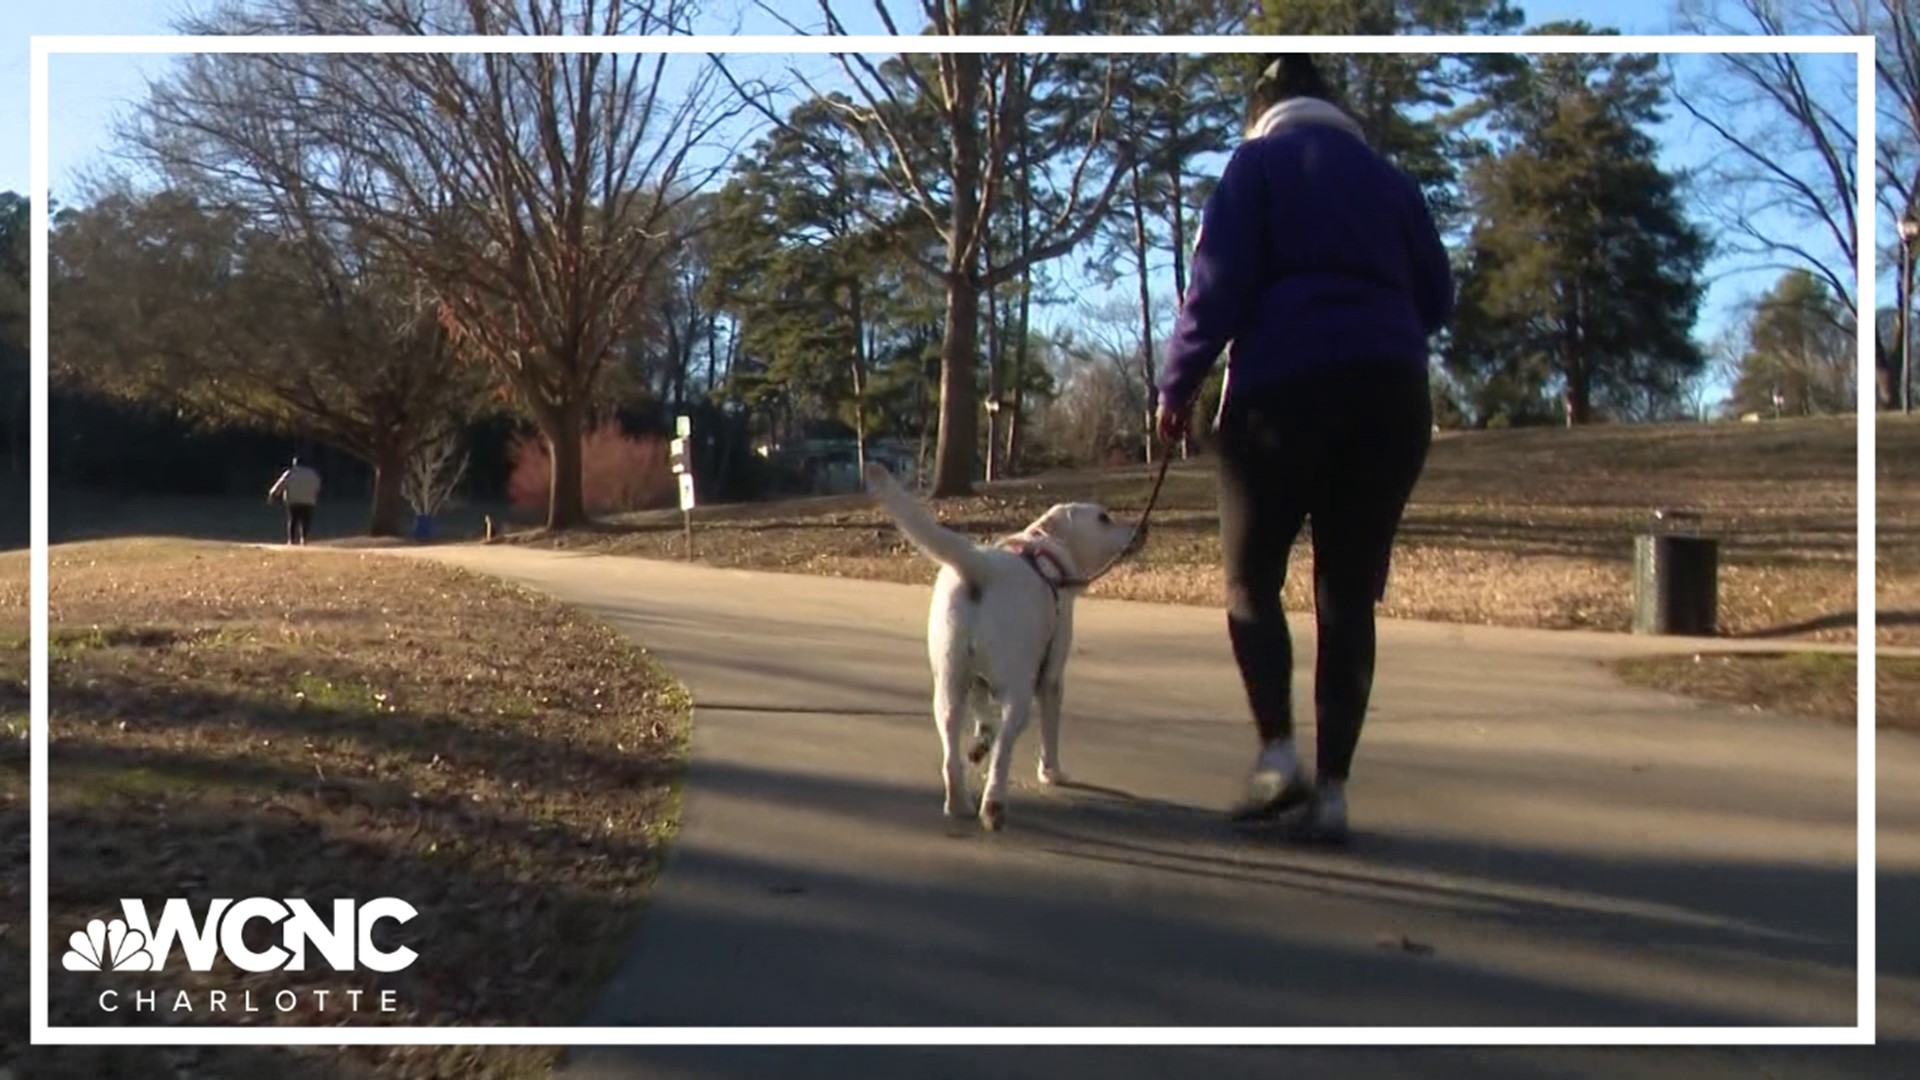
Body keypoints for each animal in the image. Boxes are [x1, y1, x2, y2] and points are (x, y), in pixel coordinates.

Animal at [860, 461, 1136, 822]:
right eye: (1104, 518)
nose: (1137, 529)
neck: (1044, 546)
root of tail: (982, 570)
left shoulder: (976, 678)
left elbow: (982, 715)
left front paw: (980, 741)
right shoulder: (1050, 676)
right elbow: (1049, 731)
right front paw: (1052, 773)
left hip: (948, 682)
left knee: (951, 752)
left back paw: (959, 802)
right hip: (1017, 692)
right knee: (1003, 752)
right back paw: (993, 806)